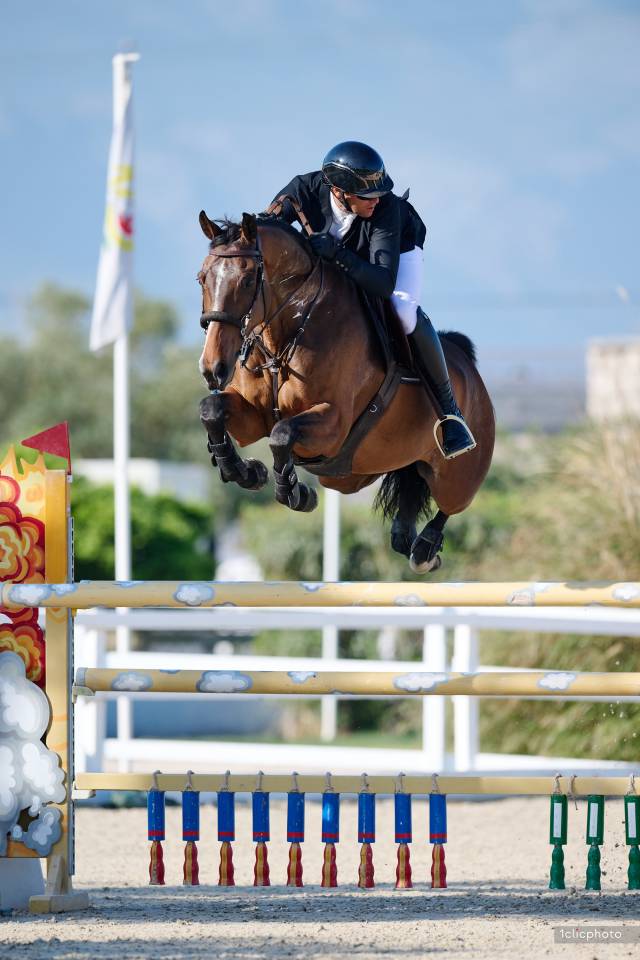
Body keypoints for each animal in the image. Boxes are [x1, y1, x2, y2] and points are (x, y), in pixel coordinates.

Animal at [197, 211, 495, 573]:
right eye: (201, 279)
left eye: (247, 281)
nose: (212, 368)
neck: (287, 334)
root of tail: (468, 367)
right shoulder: (252, 417)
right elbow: (212, 409)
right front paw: (246, 472)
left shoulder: (333, 424)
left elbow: (282, 434)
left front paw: (294, 492)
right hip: (361, 473)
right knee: (411, 487)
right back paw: (408, 537)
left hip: (458, 476)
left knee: (451, 504)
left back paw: (425, 548)